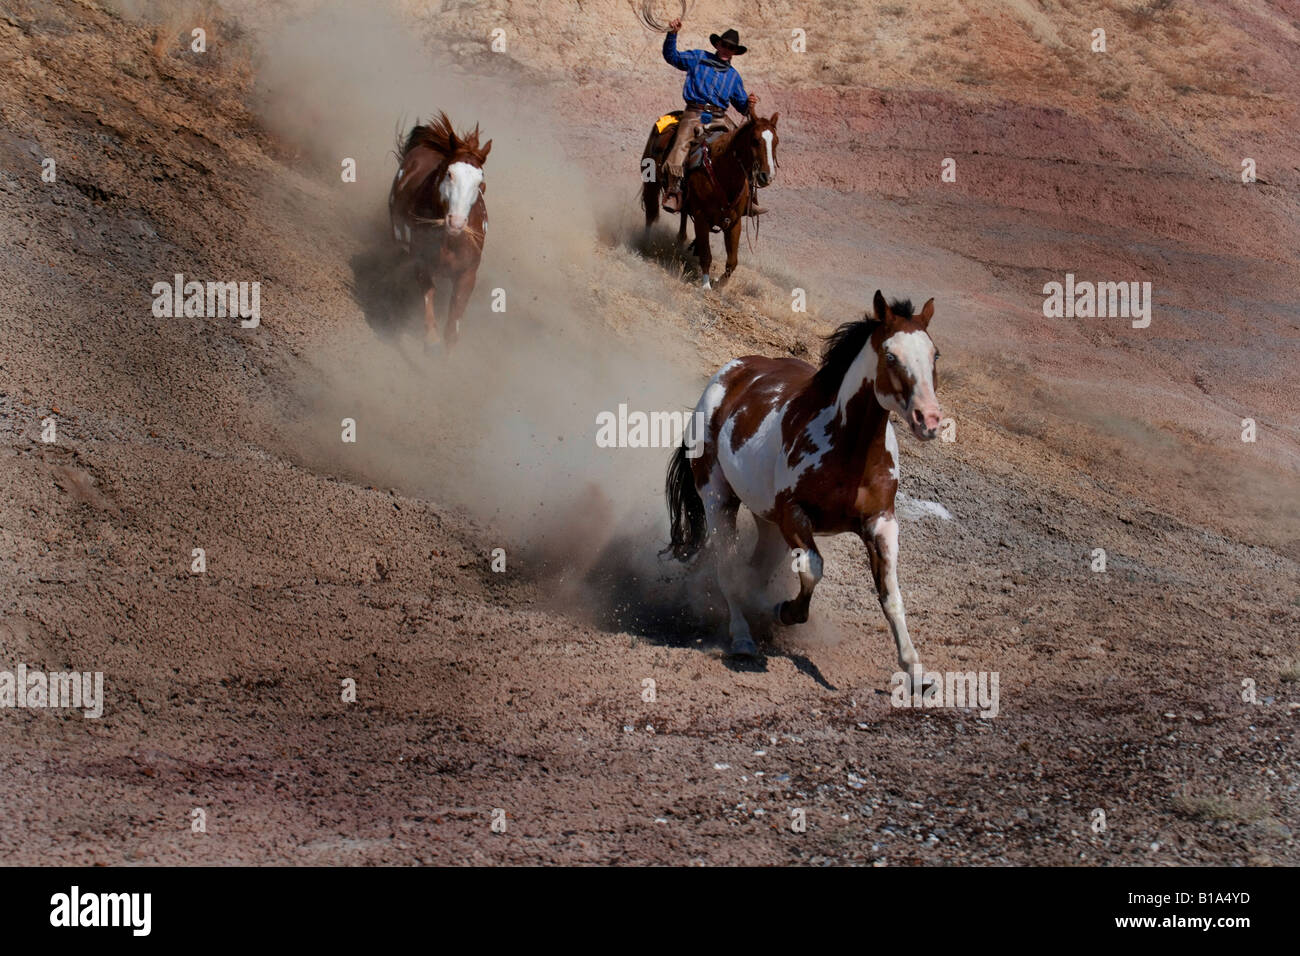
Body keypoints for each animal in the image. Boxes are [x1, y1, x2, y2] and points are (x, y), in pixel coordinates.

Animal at [387, 113, 488, 348]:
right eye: (449, 173)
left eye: (480, 182)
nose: (457, 222)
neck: (449, 242)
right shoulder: (421, 262)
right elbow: (429, 292)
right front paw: (431, 340)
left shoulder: (467, 275)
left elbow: (454, 322)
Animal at [665, 287, 941, 671]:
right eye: (891, 355)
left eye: (934, 354)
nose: (928, 419)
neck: (850, 451)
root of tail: (728, 375)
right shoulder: (795, 515)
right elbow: (813, 568)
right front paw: (785, 610)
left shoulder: (881, 522)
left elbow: (890, 593)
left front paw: (914, 667)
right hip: (718, 499)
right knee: (728, 568)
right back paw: (743, 636)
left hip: (766, 518)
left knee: (755, 567)